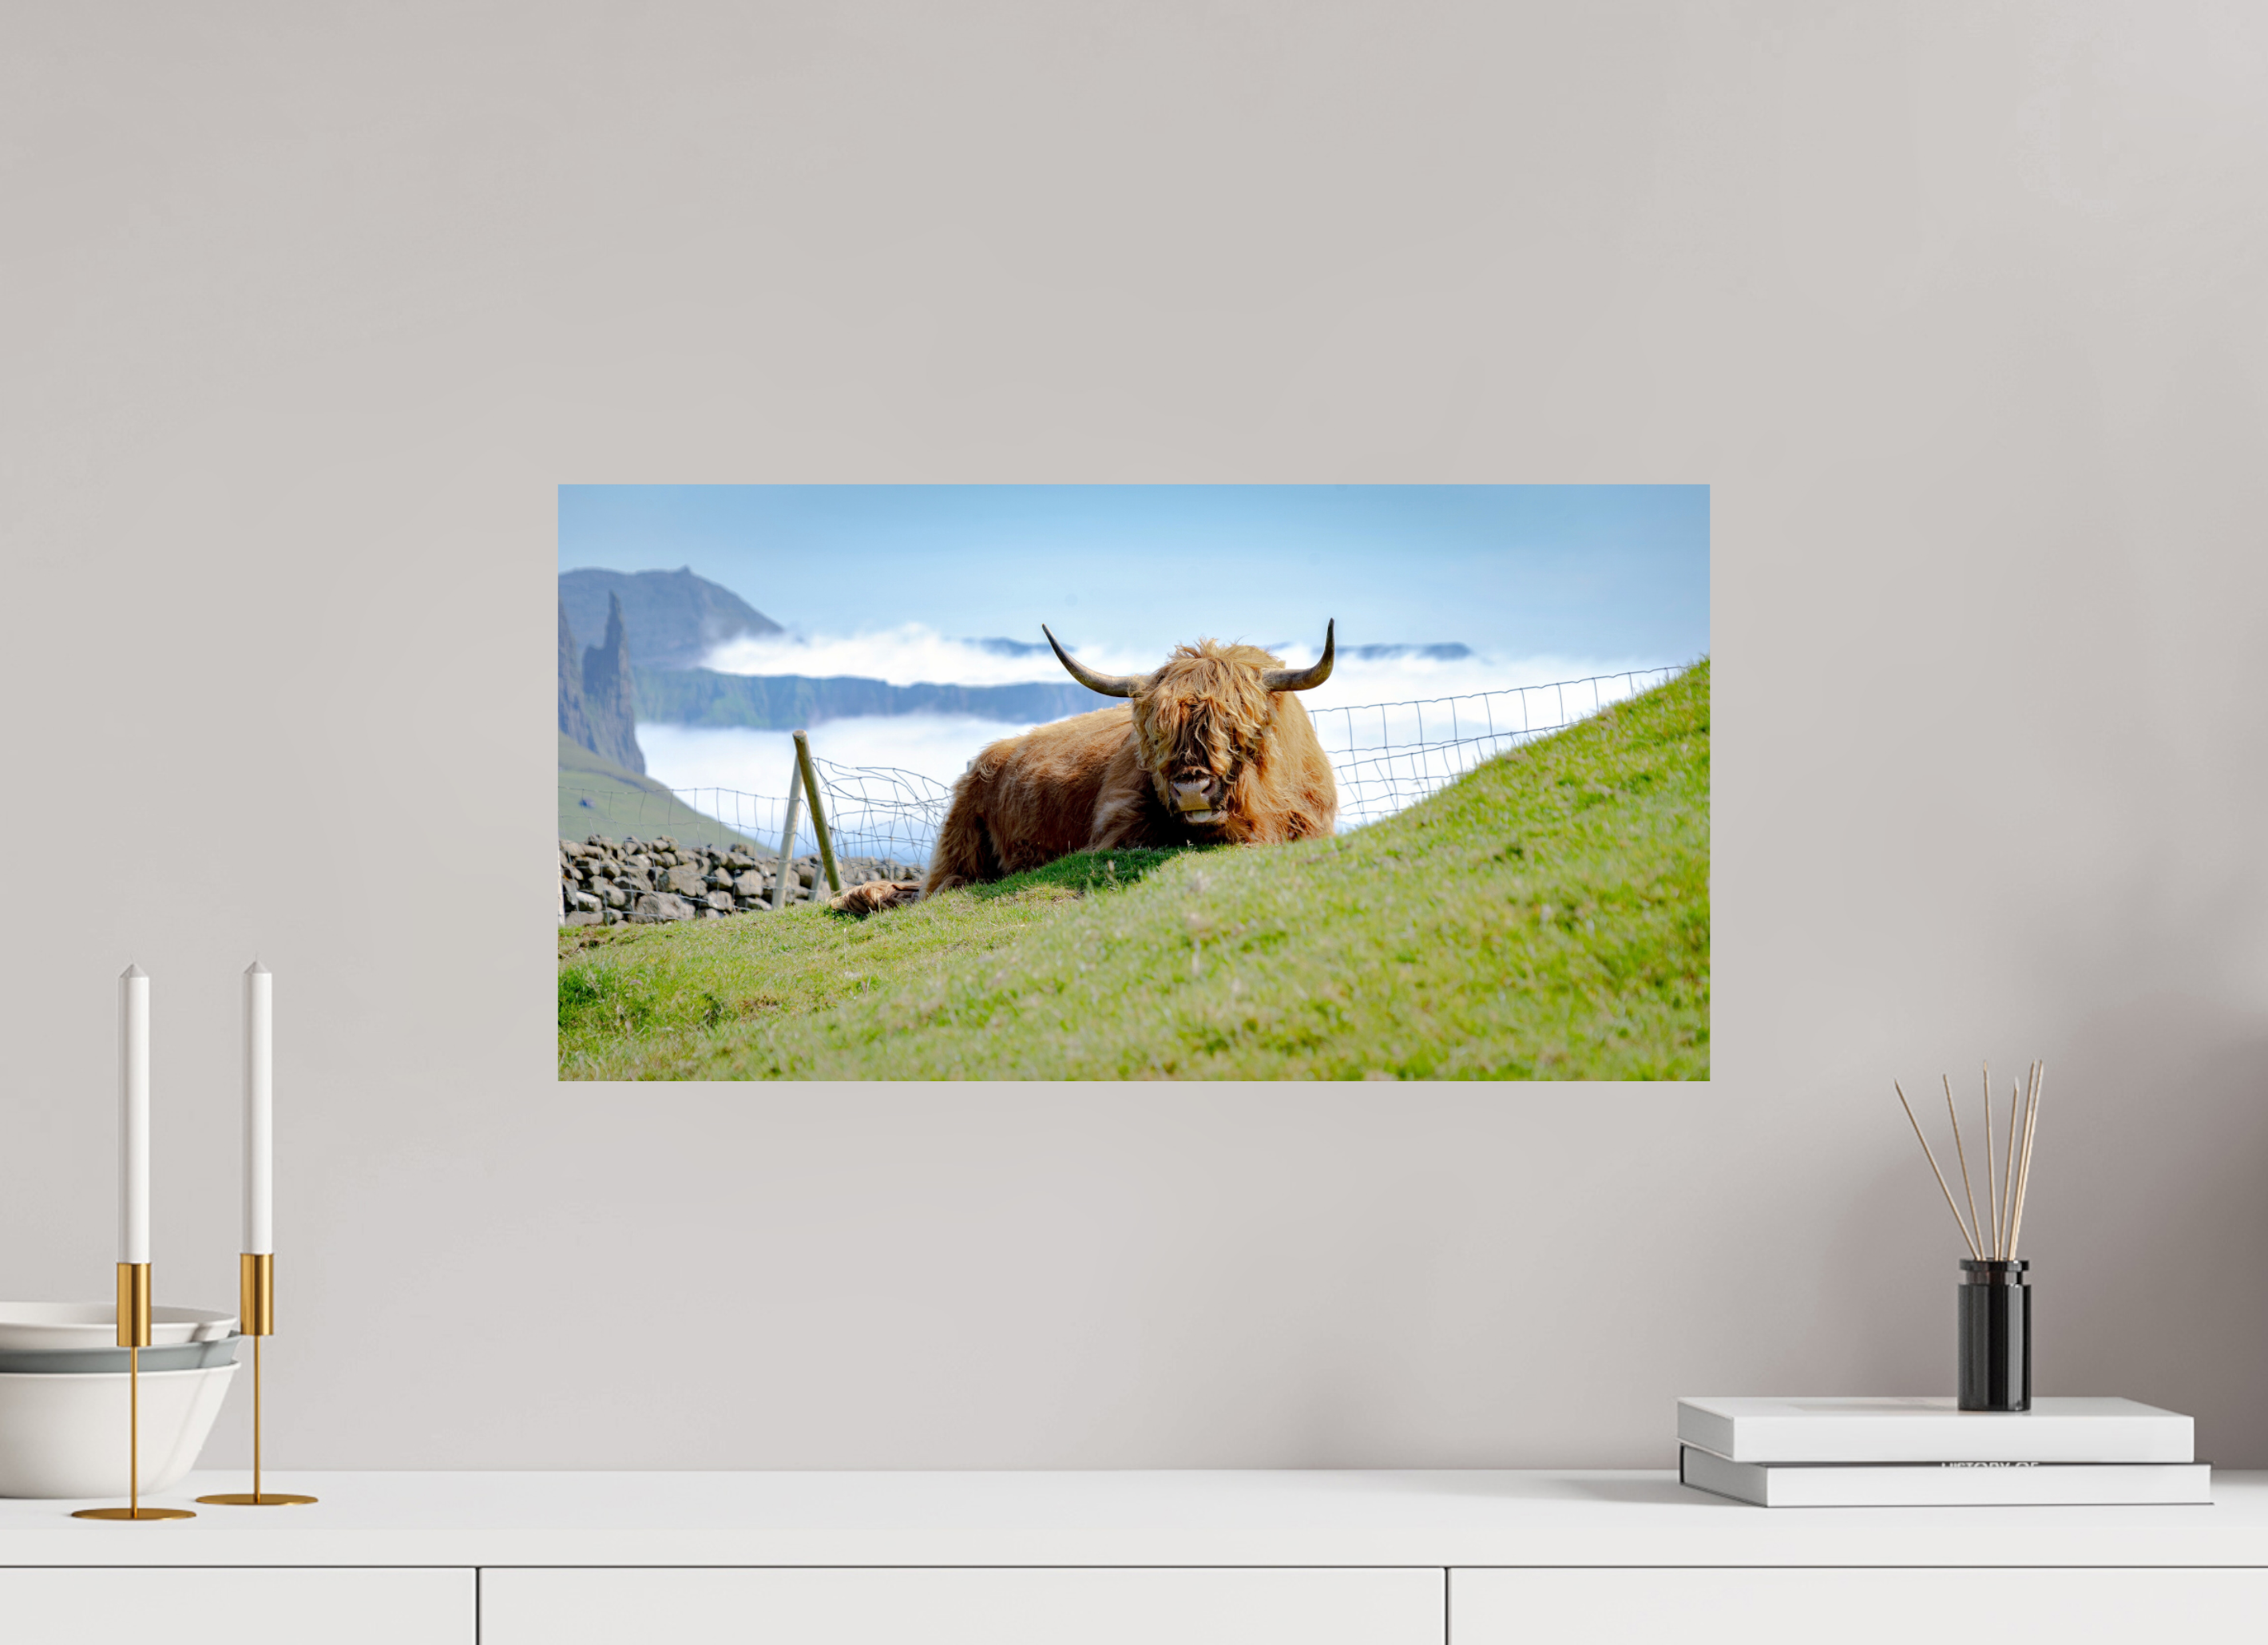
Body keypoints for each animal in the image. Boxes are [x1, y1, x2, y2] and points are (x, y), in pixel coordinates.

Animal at [830, 622, 1339, 914]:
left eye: (1236, 729)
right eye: (1155, 734)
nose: (1192, 788)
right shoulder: (1116, 829)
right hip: (959, 840)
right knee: (940, 885)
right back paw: (859, 897)